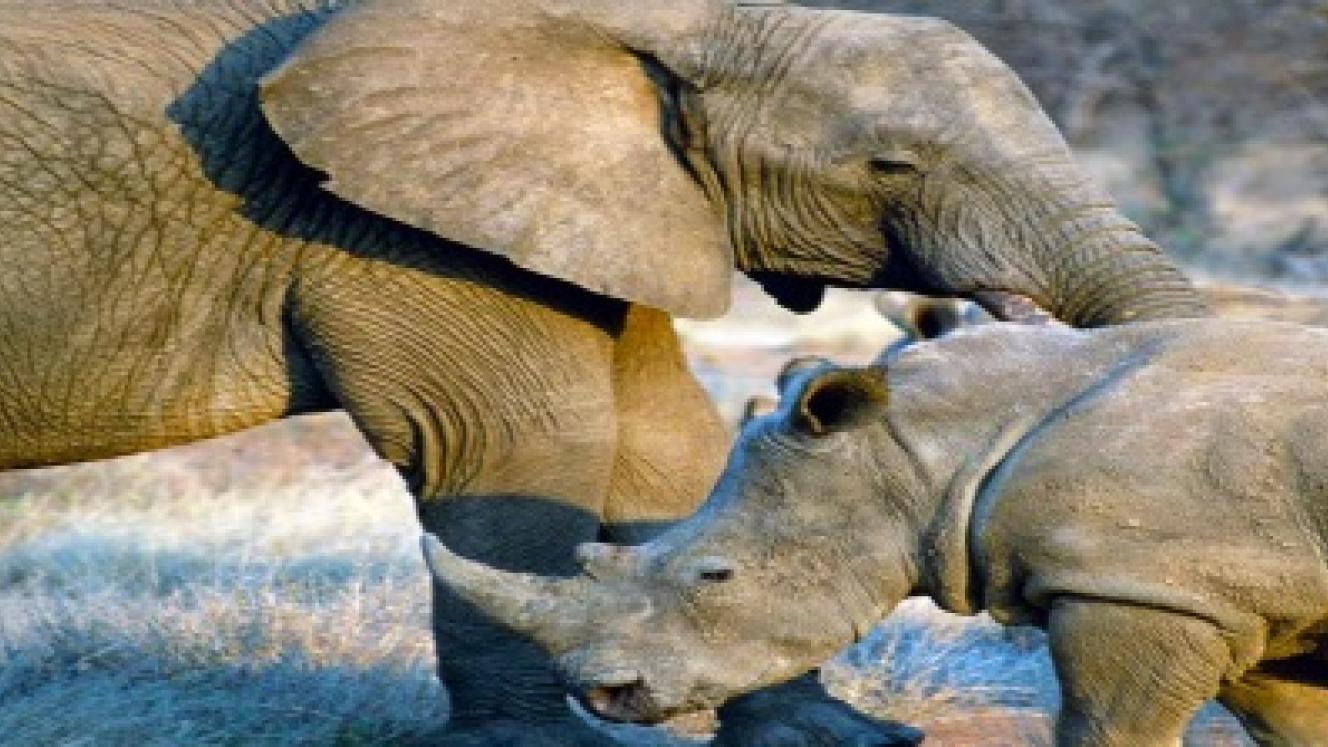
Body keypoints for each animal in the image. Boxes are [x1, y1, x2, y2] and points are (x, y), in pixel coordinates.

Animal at [1, 0, 1208, 743]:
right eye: (890, 165)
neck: (658, 22)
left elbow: (663, 437)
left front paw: (833, 736)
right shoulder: (379, 217)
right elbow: (516, 443)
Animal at [424, 317, 1328, 747]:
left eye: (714, 577)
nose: (601, 692)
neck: (934, 446)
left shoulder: (1145, 587)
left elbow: (1111, 726)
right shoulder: (1241, 600)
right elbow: (1295, 723)